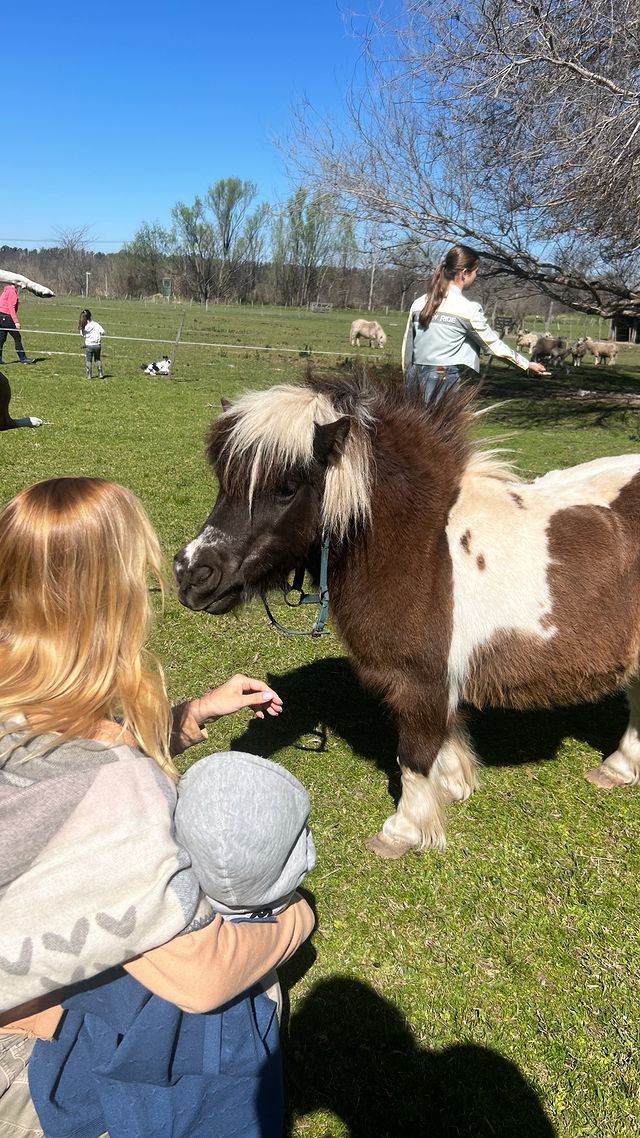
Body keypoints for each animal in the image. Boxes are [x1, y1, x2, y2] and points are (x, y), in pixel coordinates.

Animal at [171, 368, 637, 855]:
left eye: (286, 488)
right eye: (224, 482)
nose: (191, 574)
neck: (421, 545)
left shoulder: (420, 681)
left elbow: (413, 756)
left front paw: (404, 830)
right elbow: (444, 741)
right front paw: (453, 786)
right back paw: (619, 768)